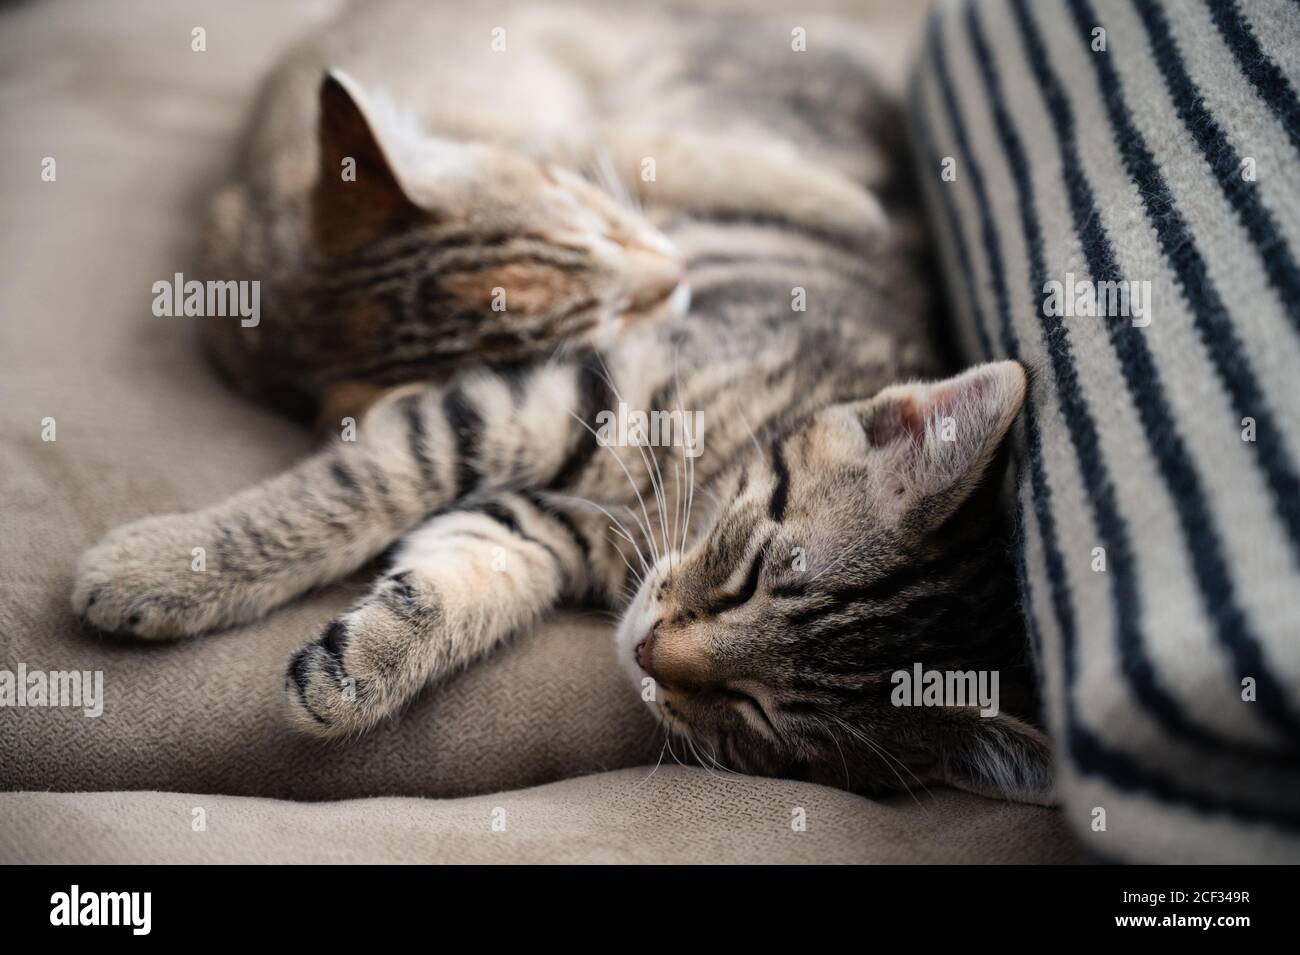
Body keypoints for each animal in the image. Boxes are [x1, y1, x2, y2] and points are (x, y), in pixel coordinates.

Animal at [73, 0, 1055, 805]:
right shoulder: (528, 401)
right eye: (747, 576)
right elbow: (354, 488)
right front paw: (164, 567)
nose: (649, 654)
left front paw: (370, 661)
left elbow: (472, 568)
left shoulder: (559, 524)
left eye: (758, 712)